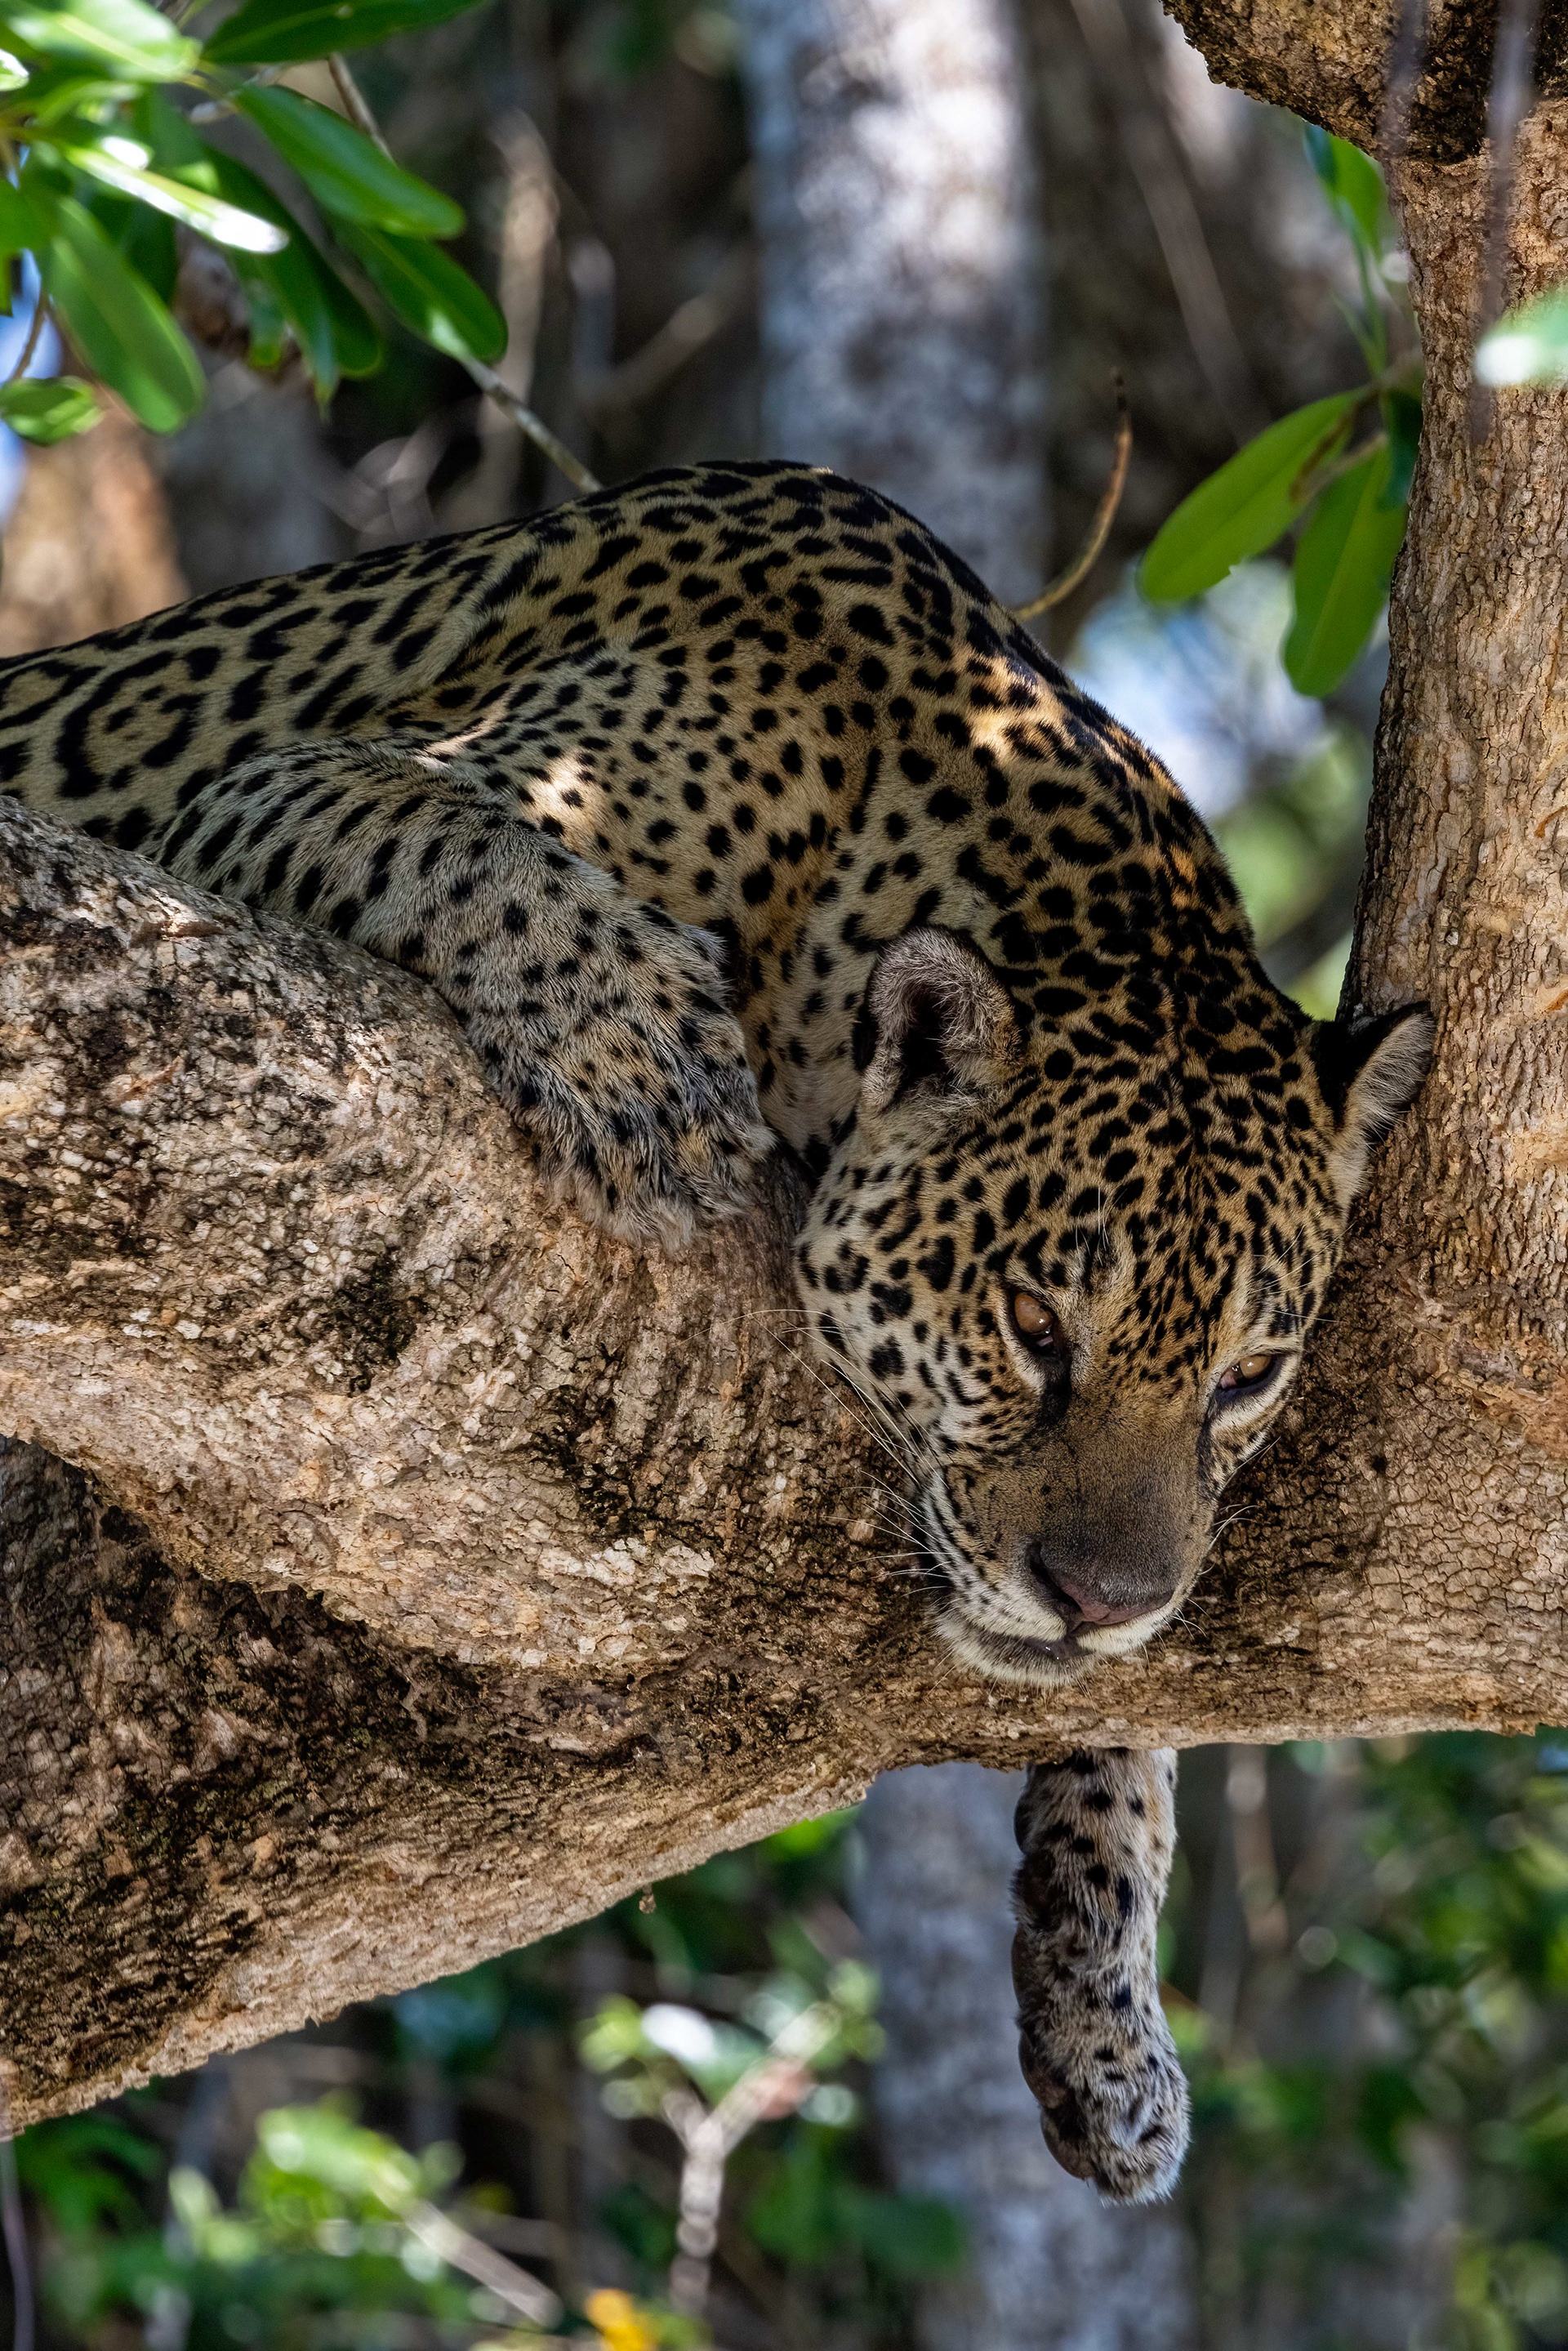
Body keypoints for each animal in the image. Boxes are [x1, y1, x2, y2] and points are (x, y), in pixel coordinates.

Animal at [0, 458, 1431, 2203]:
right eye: (1033, 1323)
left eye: (1248, 1374)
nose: (1098, 1599)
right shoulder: (286, 785)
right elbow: (447, 832)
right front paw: (634, 1048)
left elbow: (1145, 1720)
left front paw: (1111, 2010)